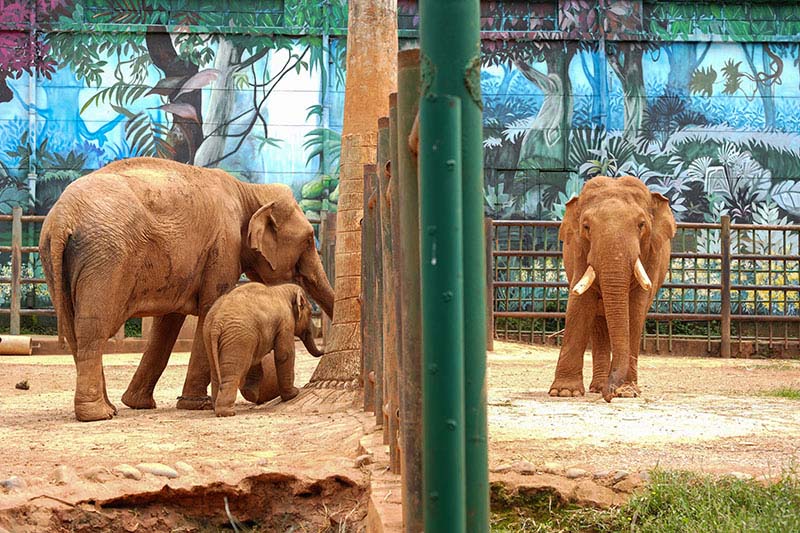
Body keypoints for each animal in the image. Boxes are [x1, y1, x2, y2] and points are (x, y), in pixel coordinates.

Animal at [204, 282, 322, 417]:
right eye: (310, 313)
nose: (323, 351)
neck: (283, 289)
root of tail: (216, 324)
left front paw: (252, 393)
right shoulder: (285, 323)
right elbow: (284, 354)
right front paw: (294, 394)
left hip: (209, 335)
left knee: (215, 371)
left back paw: (216, 408)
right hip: (239, 337)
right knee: (234, 372)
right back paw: (227, 413)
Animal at [549, 176, 676, 402]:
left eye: (641, 225)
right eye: (586, 226)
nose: (610, 395)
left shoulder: (651, 255)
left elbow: (635, 310)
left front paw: (627, 392)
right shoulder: (579, 250)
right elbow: (580, 304)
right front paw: (564, 392)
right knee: (598, 324)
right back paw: (598, 387)